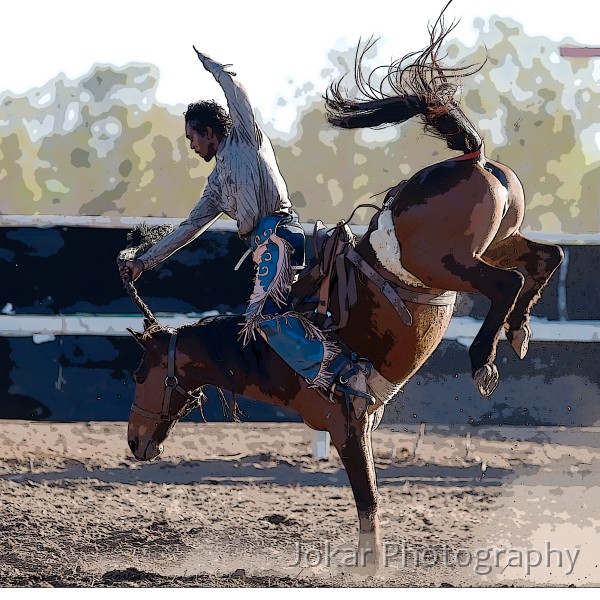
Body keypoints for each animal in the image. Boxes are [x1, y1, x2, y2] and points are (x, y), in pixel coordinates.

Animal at [125, 7, 564, 576]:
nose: (134, 442)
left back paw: (483, 357)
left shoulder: (345, 424)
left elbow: (367, 501)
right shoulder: (362, 427)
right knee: (546, 258)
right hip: (498, 240)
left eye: (140, 374)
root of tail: (472, 157)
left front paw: (370, 567)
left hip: (446, 262)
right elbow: (368, 499)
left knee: (506, 282)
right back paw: (519, 332)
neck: (263, 355)